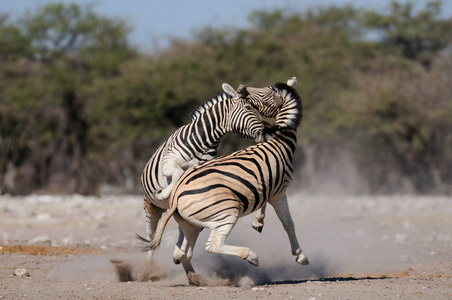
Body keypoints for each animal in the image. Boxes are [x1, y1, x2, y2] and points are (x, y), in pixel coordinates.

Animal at [141, 77, 308, 284]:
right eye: (249, 106)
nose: (268, 131)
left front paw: (259, 222)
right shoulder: (170, 163)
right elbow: (288, 223)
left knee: (183, 242)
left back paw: (188, 267)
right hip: (158, 209)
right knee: (155, 239)